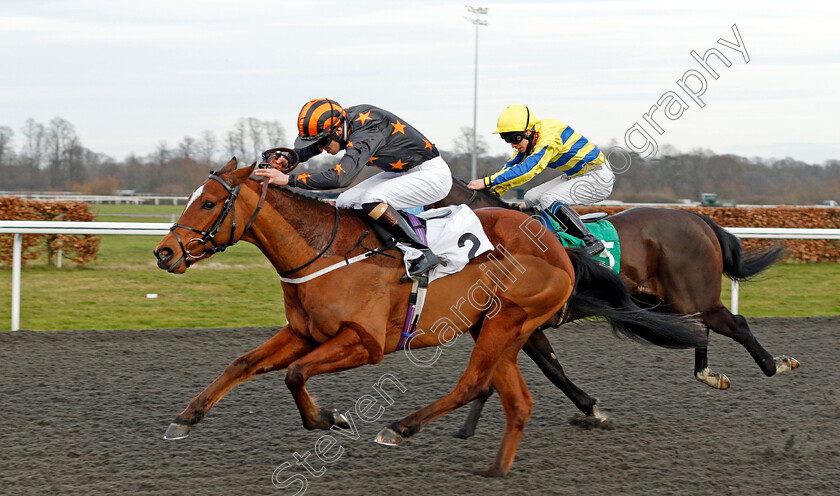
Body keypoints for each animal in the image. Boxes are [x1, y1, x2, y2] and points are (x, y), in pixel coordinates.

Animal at [154, 159, 704, 476]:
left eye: (208, 202)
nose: (164, 253)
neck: (321, 252)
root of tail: (558, 246)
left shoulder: (365, 343)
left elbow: (294, 374)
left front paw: (329, 418)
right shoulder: (303, 332)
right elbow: (244, 363)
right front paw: (185, 418)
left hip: (506, 323)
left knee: (474, 384)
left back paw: (400, 427)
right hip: (500, 328)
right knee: (515, 398)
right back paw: (495, 467)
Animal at [436, 177, 796, 438]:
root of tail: (696, 218)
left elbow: (542, 370)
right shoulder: (519, 327)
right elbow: (552, 370)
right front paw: (591, 410)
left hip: (696, 296)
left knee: (736, 324)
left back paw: (775, 364)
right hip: (665, 301)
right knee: (699, 328)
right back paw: (710, 374)